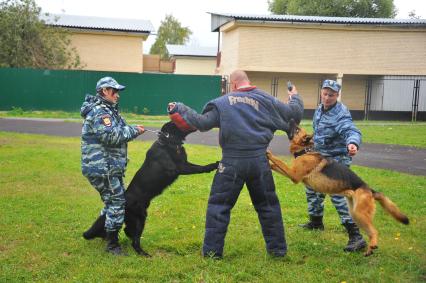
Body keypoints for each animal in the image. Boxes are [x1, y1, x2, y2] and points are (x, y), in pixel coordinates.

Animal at [82, 122, 218, 258]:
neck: (167, 141)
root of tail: (124, 200)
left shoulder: (184, 163)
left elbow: (198, 166)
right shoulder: (178, 168)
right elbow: (199, 168)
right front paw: (213, 165)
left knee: (127, 231)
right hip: (139, 219)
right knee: (134, 240)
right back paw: (143, 254)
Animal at [266, 122, 410, 258]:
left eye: (297, 129)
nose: (291, 120)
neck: (306, 150)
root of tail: (370, 190)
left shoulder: (294, 175)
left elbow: (279, 161)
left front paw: (268, 153)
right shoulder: (292, 174)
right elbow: (276, 165)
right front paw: (269, 163)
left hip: (359, 213)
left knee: (374, 231)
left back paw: (372, 244)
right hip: (356, 214)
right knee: (368, 231)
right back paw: (369, 249)